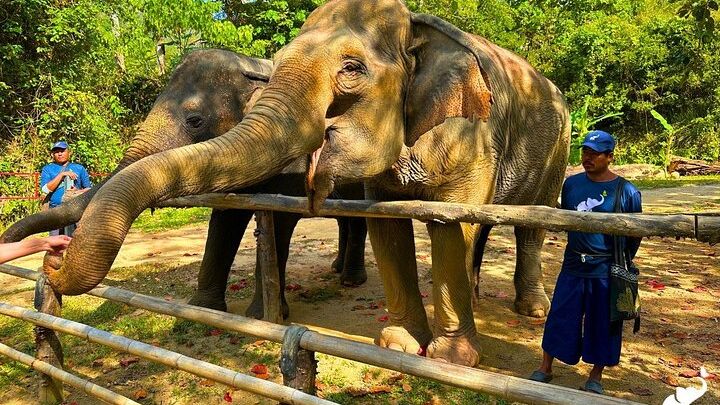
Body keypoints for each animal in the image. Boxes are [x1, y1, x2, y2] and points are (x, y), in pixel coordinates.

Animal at [1, 48, 367, 318]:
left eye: (194, 121)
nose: (52, 259)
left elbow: (278, 222)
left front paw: (261, 316)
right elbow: (224, 220)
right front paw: (203, 309)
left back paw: (351, 281)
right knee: (345, 219)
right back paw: (338, 270)